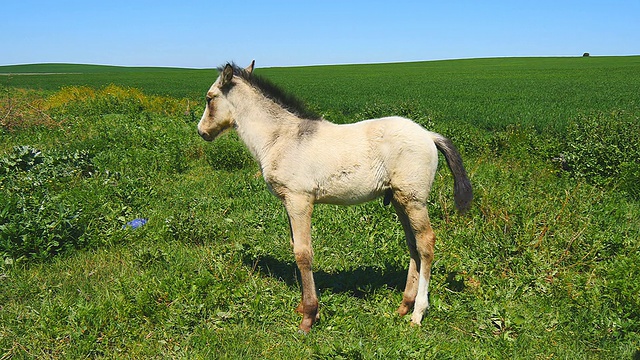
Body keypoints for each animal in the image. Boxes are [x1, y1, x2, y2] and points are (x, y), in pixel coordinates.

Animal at [198, 60, 472, 334]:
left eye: (209, 98)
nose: (202, 132)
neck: (281, 138)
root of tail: (429, 135)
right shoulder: (288, 203)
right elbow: (295, 246)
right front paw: (303, 308)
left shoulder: (300, 201)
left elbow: (303, 254)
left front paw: (309, 316)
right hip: (398, 200)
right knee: (413, 244)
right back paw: (404, 306)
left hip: (414, 201)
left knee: (426, 243)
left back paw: (418, 313)